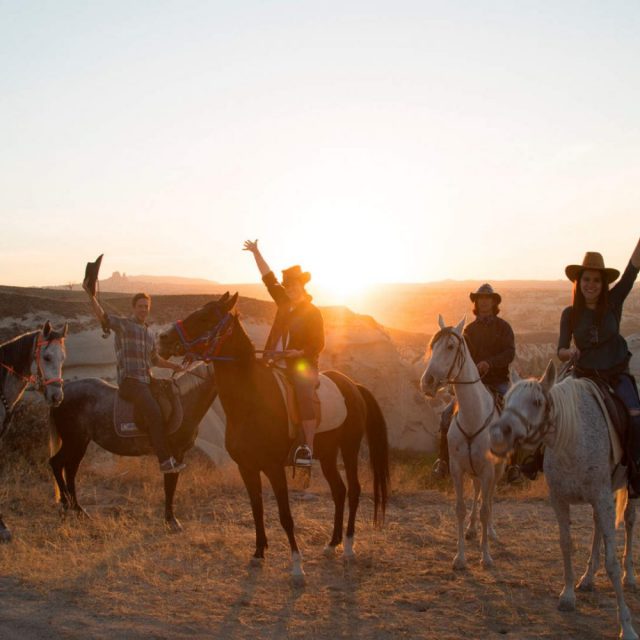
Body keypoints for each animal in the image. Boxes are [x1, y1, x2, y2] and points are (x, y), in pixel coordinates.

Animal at [48, 296, 235, 528]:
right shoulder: (173, 453)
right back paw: (66, 505)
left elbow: (171, 485)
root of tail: (61, 395)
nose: (165, 336)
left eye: (204, 317)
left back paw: (78, 510)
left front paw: (170, 518)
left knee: (70, 469)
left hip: (80, 442)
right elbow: (170, 485)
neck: (186, 399)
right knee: (57, 464)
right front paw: (171, 520)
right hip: (74, 440)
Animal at [160, 296, 390, 580]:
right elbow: (256, 509)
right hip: (327, 455)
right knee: (339, 491)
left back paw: (348, 546)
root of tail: (353, 386)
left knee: (355, 490)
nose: (163, 338)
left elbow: (285, 515)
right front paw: (259, 553)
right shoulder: (247, 468)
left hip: (349, 448)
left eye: (205, 317)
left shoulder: (274, 468)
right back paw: (332, 543)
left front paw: (297, 566)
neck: (252, 400)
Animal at [490, 360, 636, 640]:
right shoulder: (560, 500)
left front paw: (626, 625)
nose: (499, 434)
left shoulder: (602, 498)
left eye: (537, 402)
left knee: (630, 521)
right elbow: (566, 545)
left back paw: (630, 575)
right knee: (597, 526)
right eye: (508, 399)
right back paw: (588, 577)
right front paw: (568, 596)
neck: (571, 437)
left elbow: (612, 563)